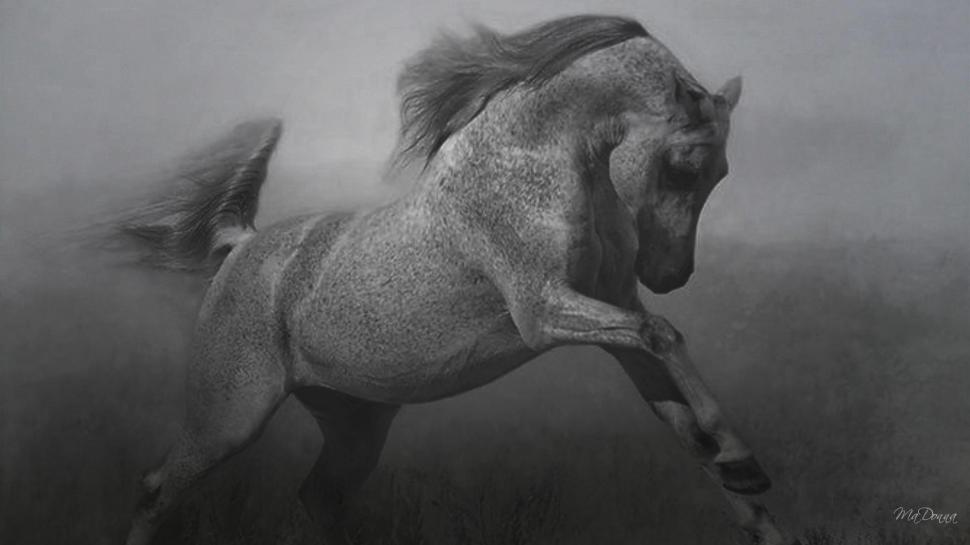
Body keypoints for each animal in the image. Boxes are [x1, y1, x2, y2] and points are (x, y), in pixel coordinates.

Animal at [115, 14, 794, 545]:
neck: (539, 160)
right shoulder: (544, 311)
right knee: (154, 490)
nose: (671, 274)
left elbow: (685, 425)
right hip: (230, 417)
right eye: (684, 166)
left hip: (354, 423)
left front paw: (751, 494)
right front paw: (745, 461)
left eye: (721, 172)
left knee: (318, 499)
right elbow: (662, 333)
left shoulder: (609, 310)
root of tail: (241, 244)